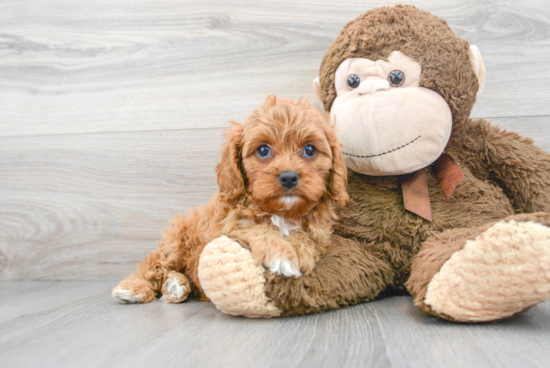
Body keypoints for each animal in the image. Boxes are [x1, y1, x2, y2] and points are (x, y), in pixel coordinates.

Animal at [112, 95, 350, 304]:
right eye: (263, 150)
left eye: (310, 149)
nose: (289, 177)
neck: (282, 212)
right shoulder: (228, 227)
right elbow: (257, 228)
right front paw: (282, 254)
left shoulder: (319, 235)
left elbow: (306, 238)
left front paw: (299, 250)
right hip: (175, 242)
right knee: (154, 266)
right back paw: (135, 288)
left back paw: (175, 286)